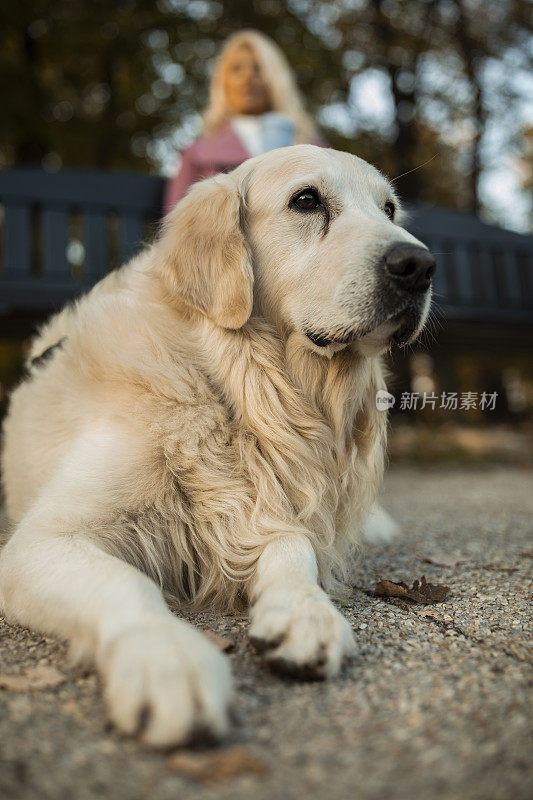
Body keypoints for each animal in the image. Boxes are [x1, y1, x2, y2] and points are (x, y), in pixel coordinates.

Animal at [0, 147, 432, 748]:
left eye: (390, 208)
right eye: (307, 200)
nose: (420, 264)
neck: (236, 384)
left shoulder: (261, 507)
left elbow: (293, 544)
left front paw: (304, 611)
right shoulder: (41, 541)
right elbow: (127, 582)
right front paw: (169, 659)